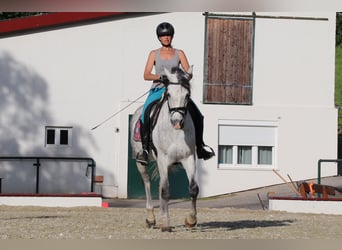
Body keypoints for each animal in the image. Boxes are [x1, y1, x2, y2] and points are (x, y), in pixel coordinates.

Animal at [130, 66, 199, 230]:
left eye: (187, 95)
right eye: (168, 95)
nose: (177, 121)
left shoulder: (189, 158)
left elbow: (193, 189)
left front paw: (190, 220)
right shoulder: (163, 158)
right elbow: (166, 190)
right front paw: (166, 224)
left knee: (161, 185)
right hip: (141, 161)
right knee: (148, 183)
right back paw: (151, 218)